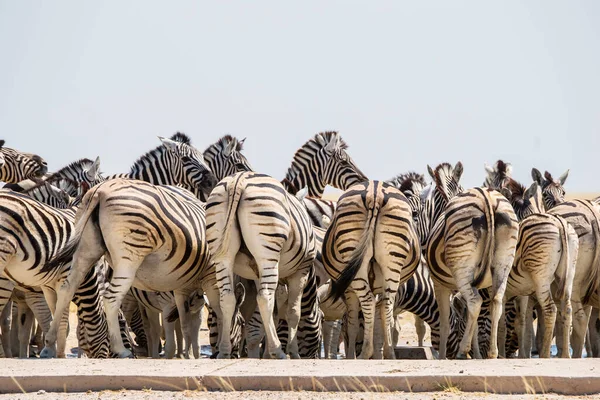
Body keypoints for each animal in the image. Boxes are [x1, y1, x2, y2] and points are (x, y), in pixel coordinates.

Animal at [42, 177, 218, 358]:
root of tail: (100, 191)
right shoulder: (210, 276)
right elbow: (218, 310)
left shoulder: (183, 284)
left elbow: (186, 322)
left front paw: (187, 354)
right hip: (129, 256)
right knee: (111, 298)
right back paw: (121, 350)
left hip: (86, 250)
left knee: (66, 289)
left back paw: (49, 344)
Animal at [207, 172, 318, 360]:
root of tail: (238, 180)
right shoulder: (300, 271)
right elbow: (293, 312)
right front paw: (293, 352)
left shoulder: (257, 274)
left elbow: (273, 313)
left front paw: (266, 354)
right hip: (268, 252)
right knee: (265, 298)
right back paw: (279, 352)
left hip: (223, 257)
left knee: (227, 298)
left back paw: (224, 351)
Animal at [324, 181, 422, 360]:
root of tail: (375, 191)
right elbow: (379, 318)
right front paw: (378, 353)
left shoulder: (348, 290)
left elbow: (353, 323)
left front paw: (352, 355)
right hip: (392, 259)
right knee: (386, 304)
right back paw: (389, 352)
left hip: (354, 258)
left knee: (368, 300)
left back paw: (365, 352)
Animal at [414, 162, 516, 360]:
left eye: (419, 212)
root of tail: (486, 198)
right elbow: (472, 321)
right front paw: (475, 353)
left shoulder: (439, 283)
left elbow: (445, 322)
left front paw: (443, 355)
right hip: (503, 264)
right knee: (496, 302)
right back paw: (492, 352)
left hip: (461, 269)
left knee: (476, 302)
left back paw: (462, 351)